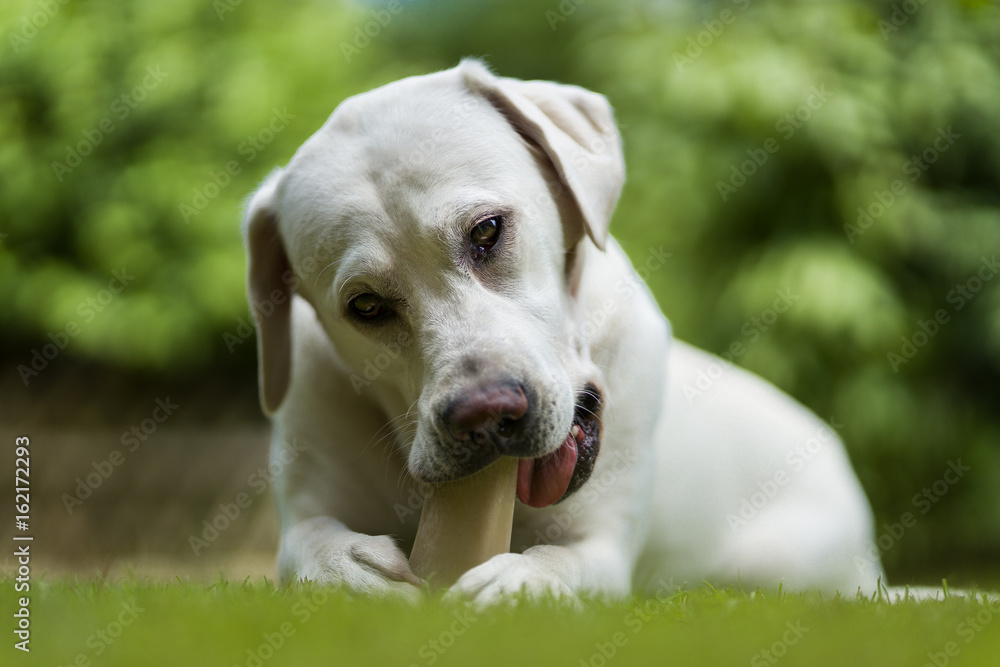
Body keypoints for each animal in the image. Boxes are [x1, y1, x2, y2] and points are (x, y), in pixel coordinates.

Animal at [244, 61, 884, 604]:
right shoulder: (305, 497)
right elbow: (308, 545)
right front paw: (350, 570)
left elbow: (564, 562)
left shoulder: (599, 544)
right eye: (366, 305)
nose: (485, 415)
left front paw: (520, 583)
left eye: (487, 231)